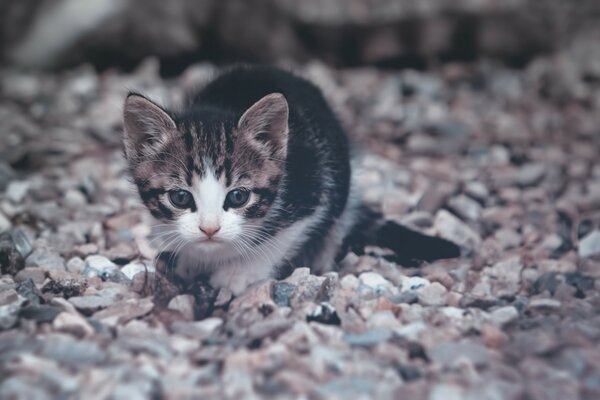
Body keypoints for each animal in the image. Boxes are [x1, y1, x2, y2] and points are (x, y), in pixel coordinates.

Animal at [123, 64, 460, 292]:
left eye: (238, 196)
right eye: (180, 197)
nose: (209, 229)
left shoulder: (312, 191)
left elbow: (282, 239)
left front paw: (238, 273)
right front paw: (191, 258)